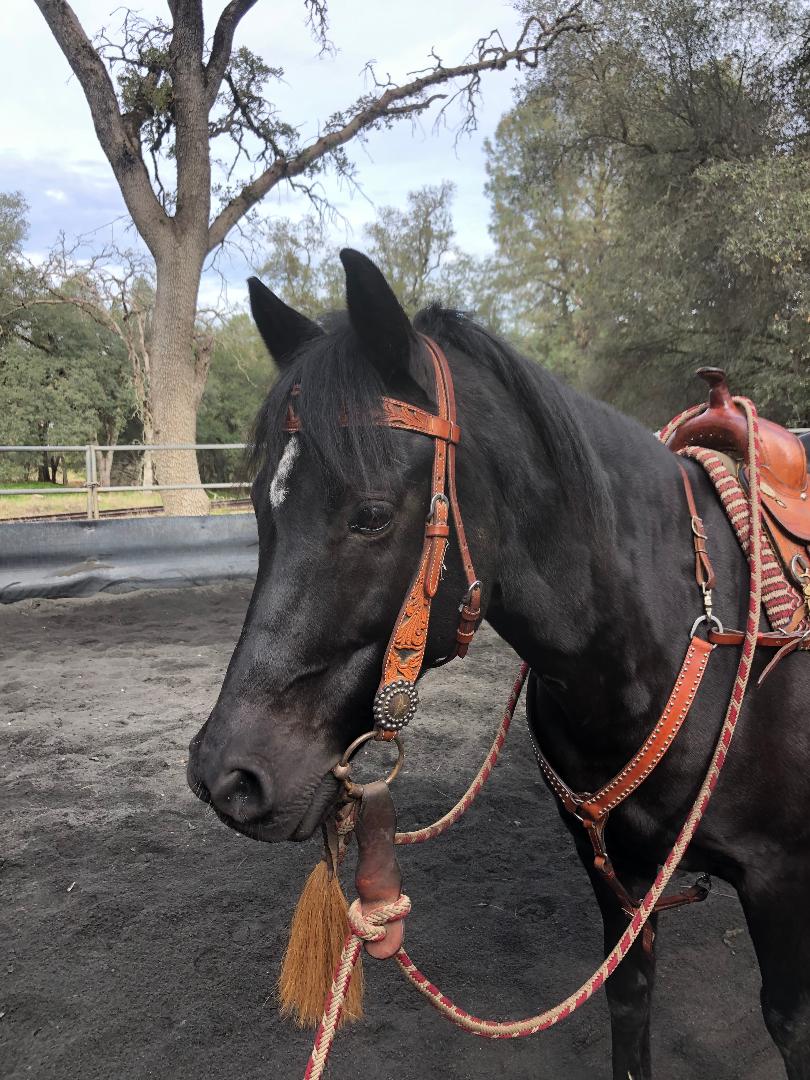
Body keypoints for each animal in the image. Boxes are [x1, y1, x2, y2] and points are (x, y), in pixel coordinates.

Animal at [187, 249, 810, 1079]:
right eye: (262, 505)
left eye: (372, 515)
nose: (227, 775)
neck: (683, 632)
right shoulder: (618, 879)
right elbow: (629, 1000)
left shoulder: (780, 883)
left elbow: (788, 1022)